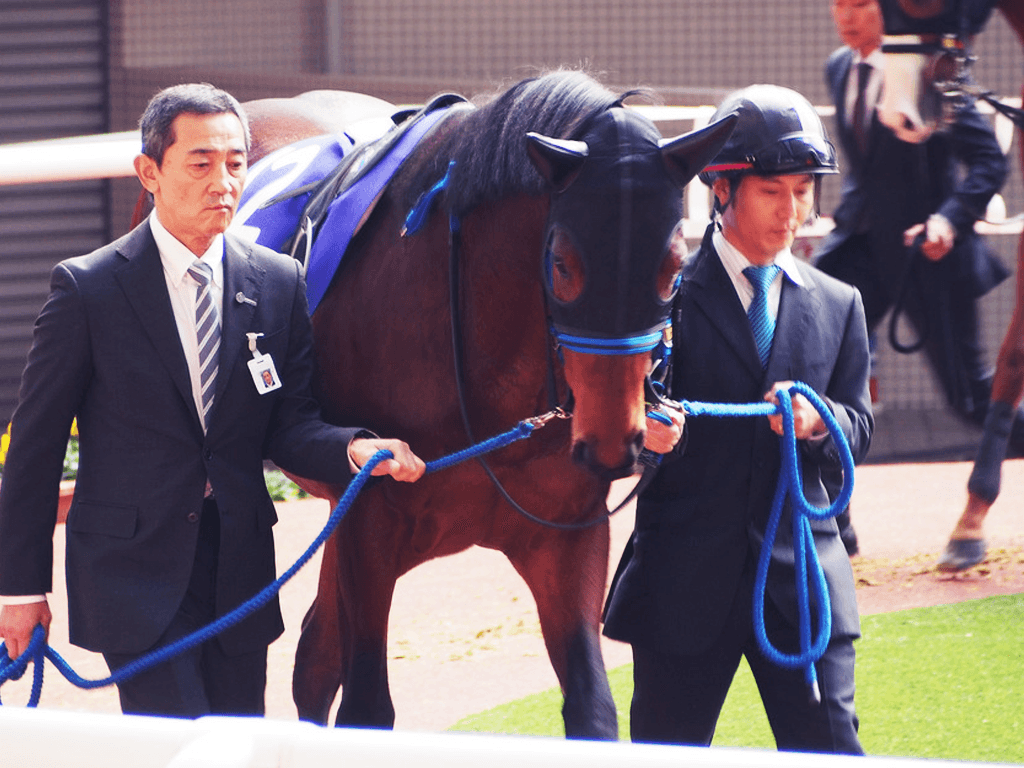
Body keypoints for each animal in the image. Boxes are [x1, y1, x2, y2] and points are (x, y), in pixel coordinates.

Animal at [225, 70, 735, 737]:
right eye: (561, 263)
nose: (609, 442)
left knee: (314, 655)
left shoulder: (566, 534)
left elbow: (593, 707)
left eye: (674, 270)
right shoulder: (369, 515)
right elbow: (367, 708)